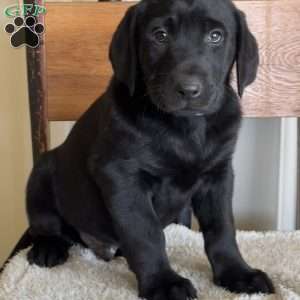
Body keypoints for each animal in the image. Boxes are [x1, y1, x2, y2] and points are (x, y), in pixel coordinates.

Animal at [6, 0, 276, 298]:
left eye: (215, 36)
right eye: (160, 35)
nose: (188, 90)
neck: (186, 128)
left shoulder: (218, 175)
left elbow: (222, 228)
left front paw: (237, 273)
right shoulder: (122, 176)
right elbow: (146, 233)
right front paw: (163, 283)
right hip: (42, 172)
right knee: (45, 221)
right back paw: (48, 247)